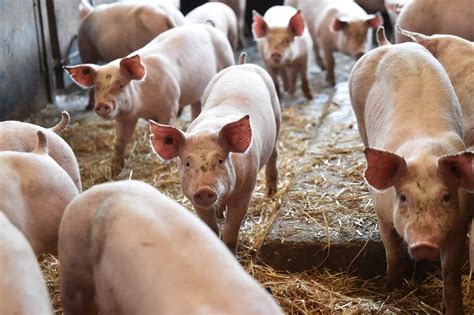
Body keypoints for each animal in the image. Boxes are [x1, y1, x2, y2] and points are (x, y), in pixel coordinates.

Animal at [65, 23, 235, 179]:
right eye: (98, 87)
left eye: (120, 84)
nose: (101, 105)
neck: (143, 107)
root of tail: (208, 25)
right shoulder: (125, 118)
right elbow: (120, 141)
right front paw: (114, 172)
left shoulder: (170, 106)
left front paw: (163, 161)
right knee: (196, 106)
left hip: (227, 58)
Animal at [150, 56, 280, 256]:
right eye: (187, 163)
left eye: (220, 160)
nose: (204, 190)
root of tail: (241, 65)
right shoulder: (193, 197)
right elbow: (211, 227)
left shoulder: (245, 192)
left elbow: (231, 230)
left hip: (277, 114)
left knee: (274, 152)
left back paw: (271, 192)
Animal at [348, 26, 474, 314]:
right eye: (403, 197)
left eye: (446, 197)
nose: (424, 244)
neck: (423, 153)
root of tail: (388, 44)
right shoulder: (382, 209)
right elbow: (392, 250)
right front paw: (392, 288)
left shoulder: (459, 224)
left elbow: (450, 272)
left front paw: (452, 307)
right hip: (358, 113)